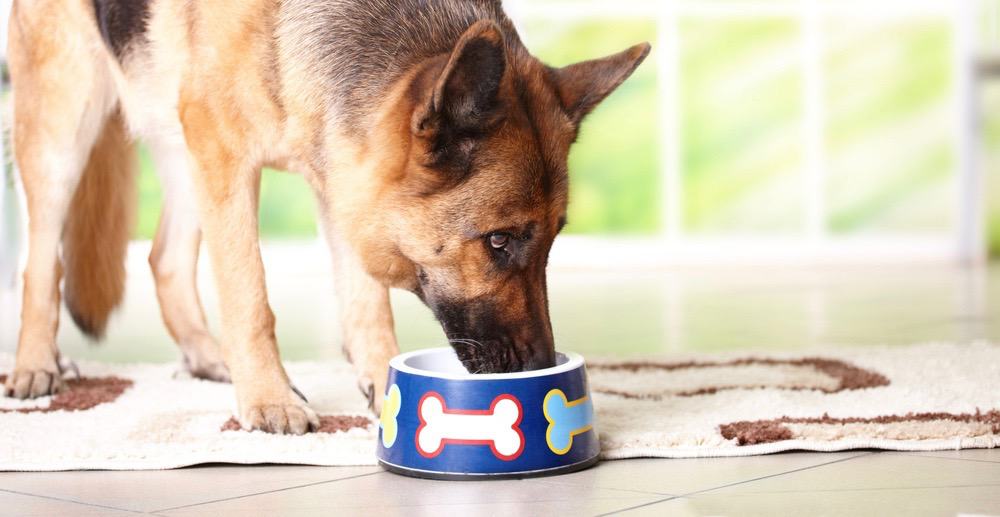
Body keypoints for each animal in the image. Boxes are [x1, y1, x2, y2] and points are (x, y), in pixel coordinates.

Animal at [5, 0, 648, 434]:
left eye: (552, 241)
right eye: (497, 241)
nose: (540, 366)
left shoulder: (344, 177)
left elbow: (366, 304)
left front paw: (382, 385)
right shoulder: (229, 158)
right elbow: (248, 294)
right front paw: (268, 399)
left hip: (181, 152)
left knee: (163, 258)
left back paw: (207, 356)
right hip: (66, 127)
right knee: (40, 261)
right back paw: (36, 365)